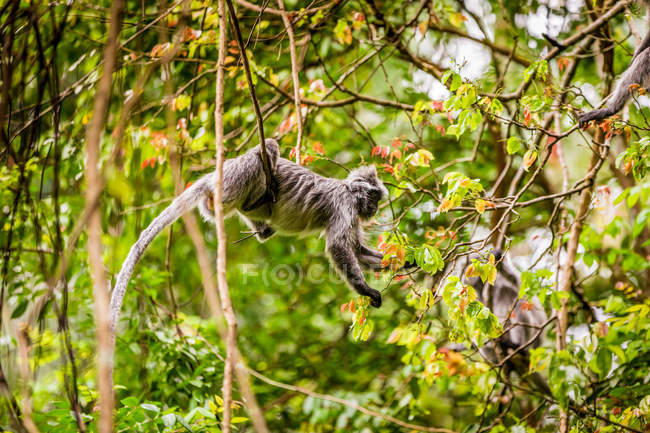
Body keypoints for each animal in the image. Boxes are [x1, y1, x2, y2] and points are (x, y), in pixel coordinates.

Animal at [109, 138, 388, 330]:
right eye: (374, 197)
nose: (375, 208)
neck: (349, 192)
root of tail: (219, 173)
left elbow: (357, 251)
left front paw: (396, 263)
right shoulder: (344, 206)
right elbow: (339, 247)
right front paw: (366, 290)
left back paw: (263, 227)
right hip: (236, 178)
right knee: (268, 147)